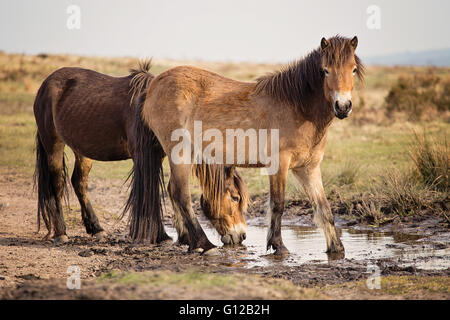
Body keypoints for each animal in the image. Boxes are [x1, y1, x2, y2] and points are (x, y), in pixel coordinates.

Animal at [33, 60, 248, 245]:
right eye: (235, 197)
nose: (242, 236)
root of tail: (46, 84)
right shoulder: (143, 156)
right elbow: (149, 191)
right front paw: (156, 236)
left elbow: (164, 190)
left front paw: (177, 237)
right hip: (53, 144)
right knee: (57, 184)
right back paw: (61, 233)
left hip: (82, 150)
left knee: (79, 183)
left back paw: (96, 229)